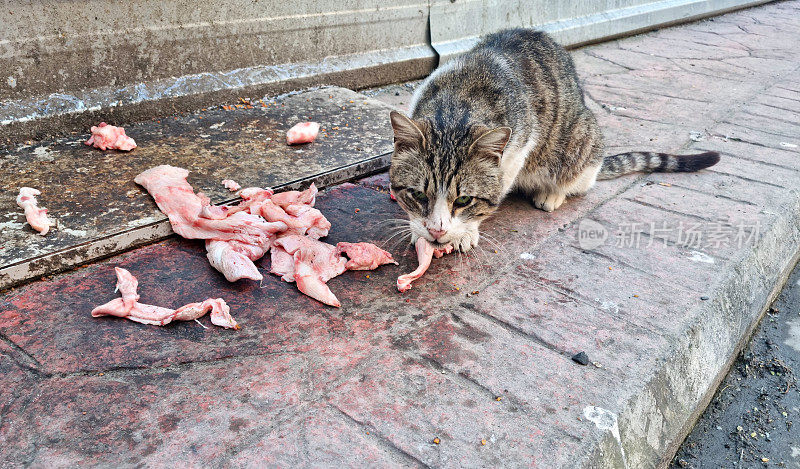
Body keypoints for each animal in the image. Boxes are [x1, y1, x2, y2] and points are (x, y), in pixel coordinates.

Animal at [388, 27, 720, 250]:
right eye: (417, 195)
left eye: (463, 200)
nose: (437, 231)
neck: (457, 106)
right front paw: (418, 229)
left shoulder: (518, 150)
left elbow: (497, 190)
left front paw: (466, 231)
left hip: (581, 143)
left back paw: (553, 193)